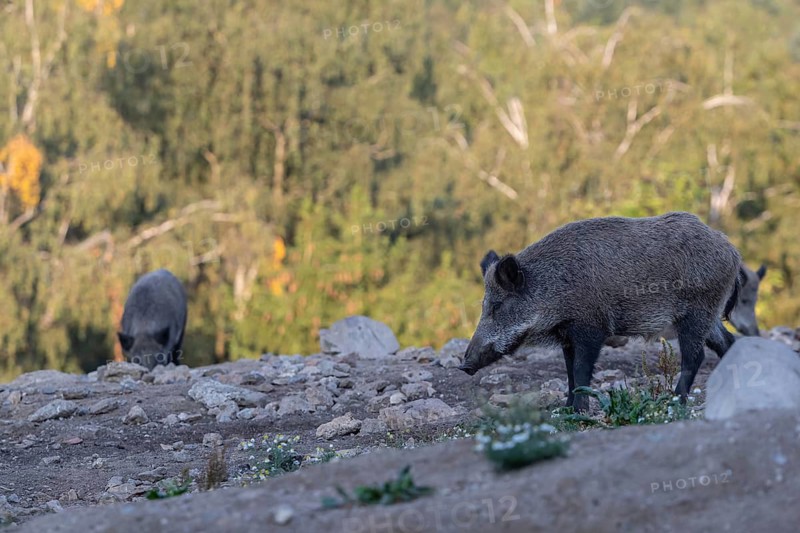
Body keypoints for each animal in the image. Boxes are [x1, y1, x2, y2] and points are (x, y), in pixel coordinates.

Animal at [459, 212, 743, 412]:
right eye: (484, 304)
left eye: (497, 306)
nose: (464, 365)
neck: (552, 289)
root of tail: (731, 249)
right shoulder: (567, 337)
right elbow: (569, 373)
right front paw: (566, 410)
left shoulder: (590, 327)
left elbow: (581, 370)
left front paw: (579, 413)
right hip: (709, 315)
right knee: (728, 343)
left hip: (696, 312)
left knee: (695, 356)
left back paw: (673, 402)